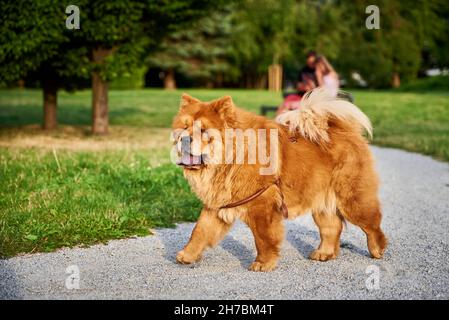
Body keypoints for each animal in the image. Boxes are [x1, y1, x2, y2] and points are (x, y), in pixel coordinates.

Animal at [172, 89, 384, 272]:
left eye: (203, 131)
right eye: (184, 127)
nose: (184, 139)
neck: (230, 160)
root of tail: (345, 131)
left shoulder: (262, 204)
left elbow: (263, 238)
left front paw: (263, 264)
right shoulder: (217, 204)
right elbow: (199, 231)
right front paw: (186, 255)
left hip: (352, 200)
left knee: (372, 225)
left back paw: (377, 250)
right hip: (321, 203)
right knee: (332, 227)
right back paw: (323, 253)